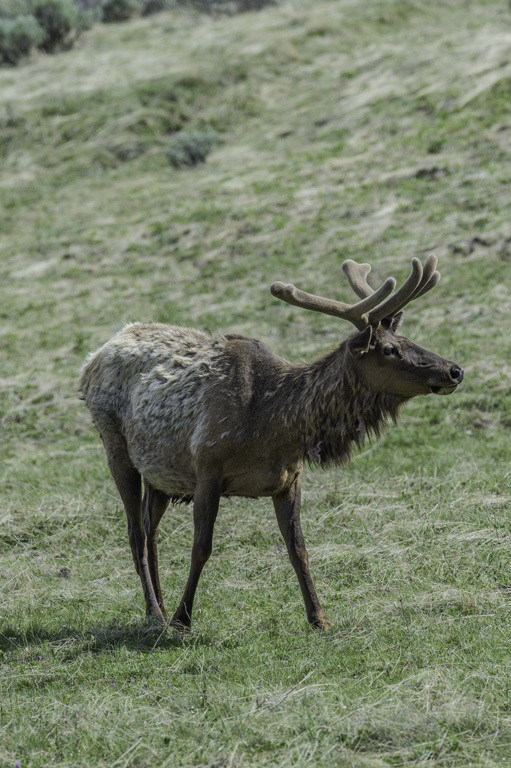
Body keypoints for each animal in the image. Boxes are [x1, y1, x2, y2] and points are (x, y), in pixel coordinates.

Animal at [80, 255, 464, 632]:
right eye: (389, 348)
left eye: (407, 338)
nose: (454, 370)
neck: (273, 428)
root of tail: (94, 357)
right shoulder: (208, 466)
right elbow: (201, 547)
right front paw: (182, 618)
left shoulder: (288, 479)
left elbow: (298, 548)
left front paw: (319, 618)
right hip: (114, 443)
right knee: (135, 533)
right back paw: (157, 615)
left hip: (160, 475)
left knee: (150, 532)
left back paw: (155, 609)